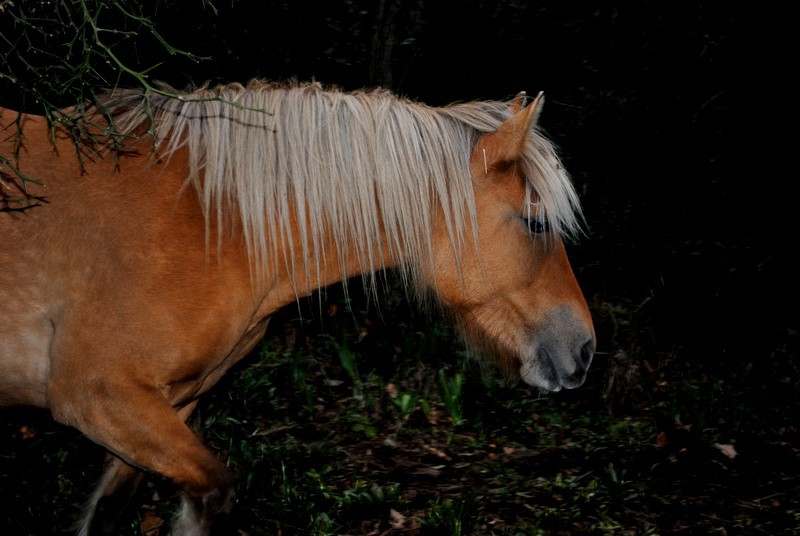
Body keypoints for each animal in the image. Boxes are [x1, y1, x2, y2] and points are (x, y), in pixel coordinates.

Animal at [0, 80, 592, 536]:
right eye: (537, 223)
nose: (585, 349)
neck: (216, 222)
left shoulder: (169, 408)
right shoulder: (97, 397)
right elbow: (214, 495)